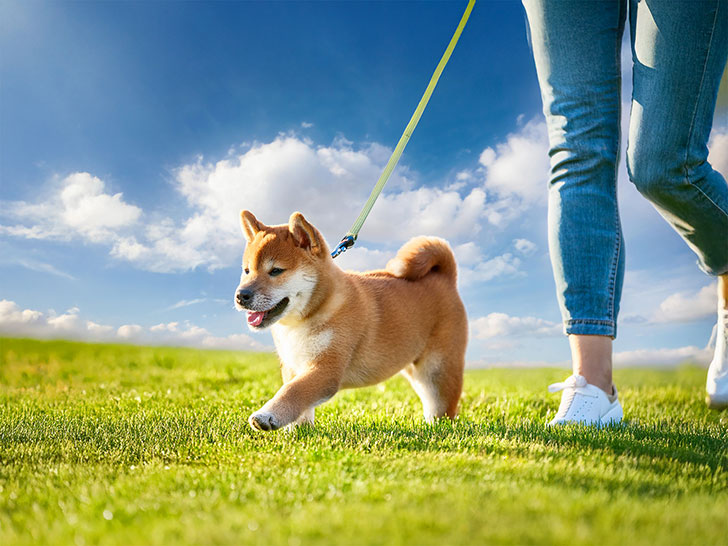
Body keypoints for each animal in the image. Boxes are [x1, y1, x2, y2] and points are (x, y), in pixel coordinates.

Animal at [236, 208, 470, 430]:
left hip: (438, 368)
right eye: (247, 271)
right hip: (415, 369)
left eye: (276, 271)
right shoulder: (293, 365)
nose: (241, 295)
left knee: (444, 407)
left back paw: (438, 428)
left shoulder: (327, 367)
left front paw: (267, 415)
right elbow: (300, 401)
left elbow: (293, 390)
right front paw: (299, 430)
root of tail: (445, 277)